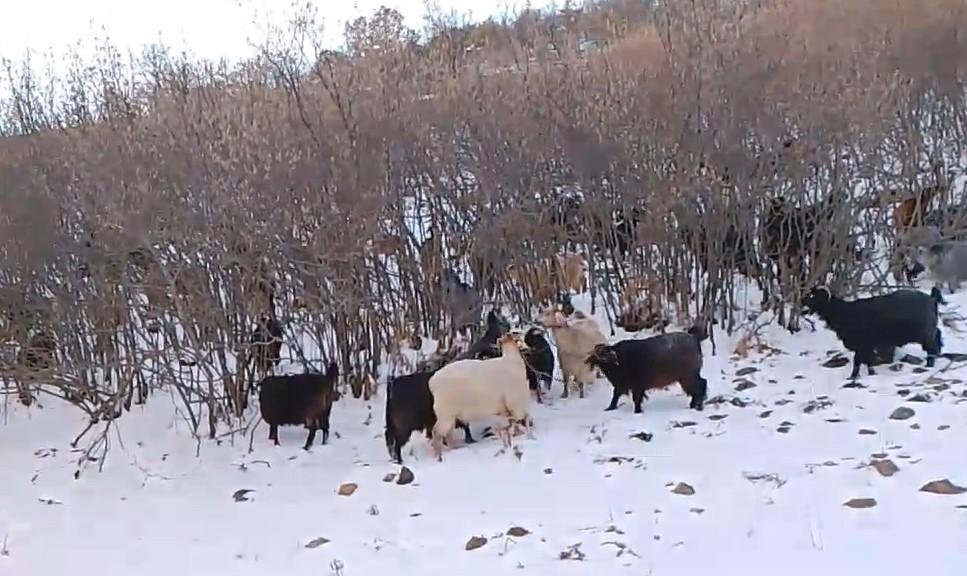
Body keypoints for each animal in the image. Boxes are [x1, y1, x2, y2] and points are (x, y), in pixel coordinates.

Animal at [432, 332, 536, 460]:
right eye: (519, 339)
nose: (529, 349)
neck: (511, 359)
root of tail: (432, 382)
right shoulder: (515, 403)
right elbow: (522, 419)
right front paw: (526, 435)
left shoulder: (505, 408)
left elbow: (513, 421)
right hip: (445, 413)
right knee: (437, 432)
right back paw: (438, 455)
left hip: (450, 414)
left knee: (448, 433)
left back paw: (455, 449)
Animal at [584, 328, 712, 414]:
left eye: (603, 352)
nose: (588, 360)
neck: (619, 359)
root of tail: (694, 338)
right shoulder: (622, 385)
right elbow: (615, 396)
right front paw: (610, 408)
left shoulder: (637, 386)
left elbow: (636, 399)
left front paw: (637, 411)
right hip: (686, 377)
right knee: (700, 385)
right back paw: (694, 405)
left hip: (688, 376)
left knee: (701, 385)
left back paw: (697, 406)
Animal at [800, 286, 944, 380]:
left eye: (813, 296)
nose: (802, 300)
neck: (844, 312)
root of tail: (932, 298)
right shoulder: (867, 346)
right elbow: (868, 360)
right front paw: (870, 373)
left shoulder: (862, 344)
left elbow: (858, 361)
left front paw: (853, 377)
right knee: (938, 336)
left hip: (925, 334)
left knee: (932, 348)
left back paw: (929, 365)